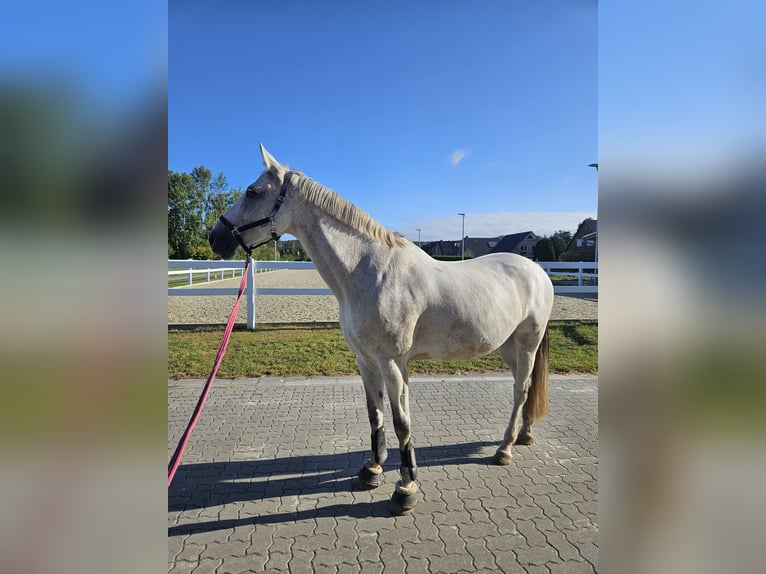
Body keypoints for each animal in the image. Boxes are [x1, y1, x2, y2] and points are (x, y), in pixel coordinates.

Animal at [213, 145, 556, 516]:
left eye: (252, 192)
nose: (215, 238)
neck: (369, 271)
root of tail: (537, 270)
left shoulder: (391, 362)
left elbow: (400, 420)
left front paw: (405, 488)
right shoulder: (366, 361)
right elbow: (375, 414)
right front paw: (373, 469)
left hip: (527, 341)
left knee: (521, 390)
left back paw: (505, 449)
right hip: (507, 346)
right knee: (523, 387)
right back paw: (524, 434)